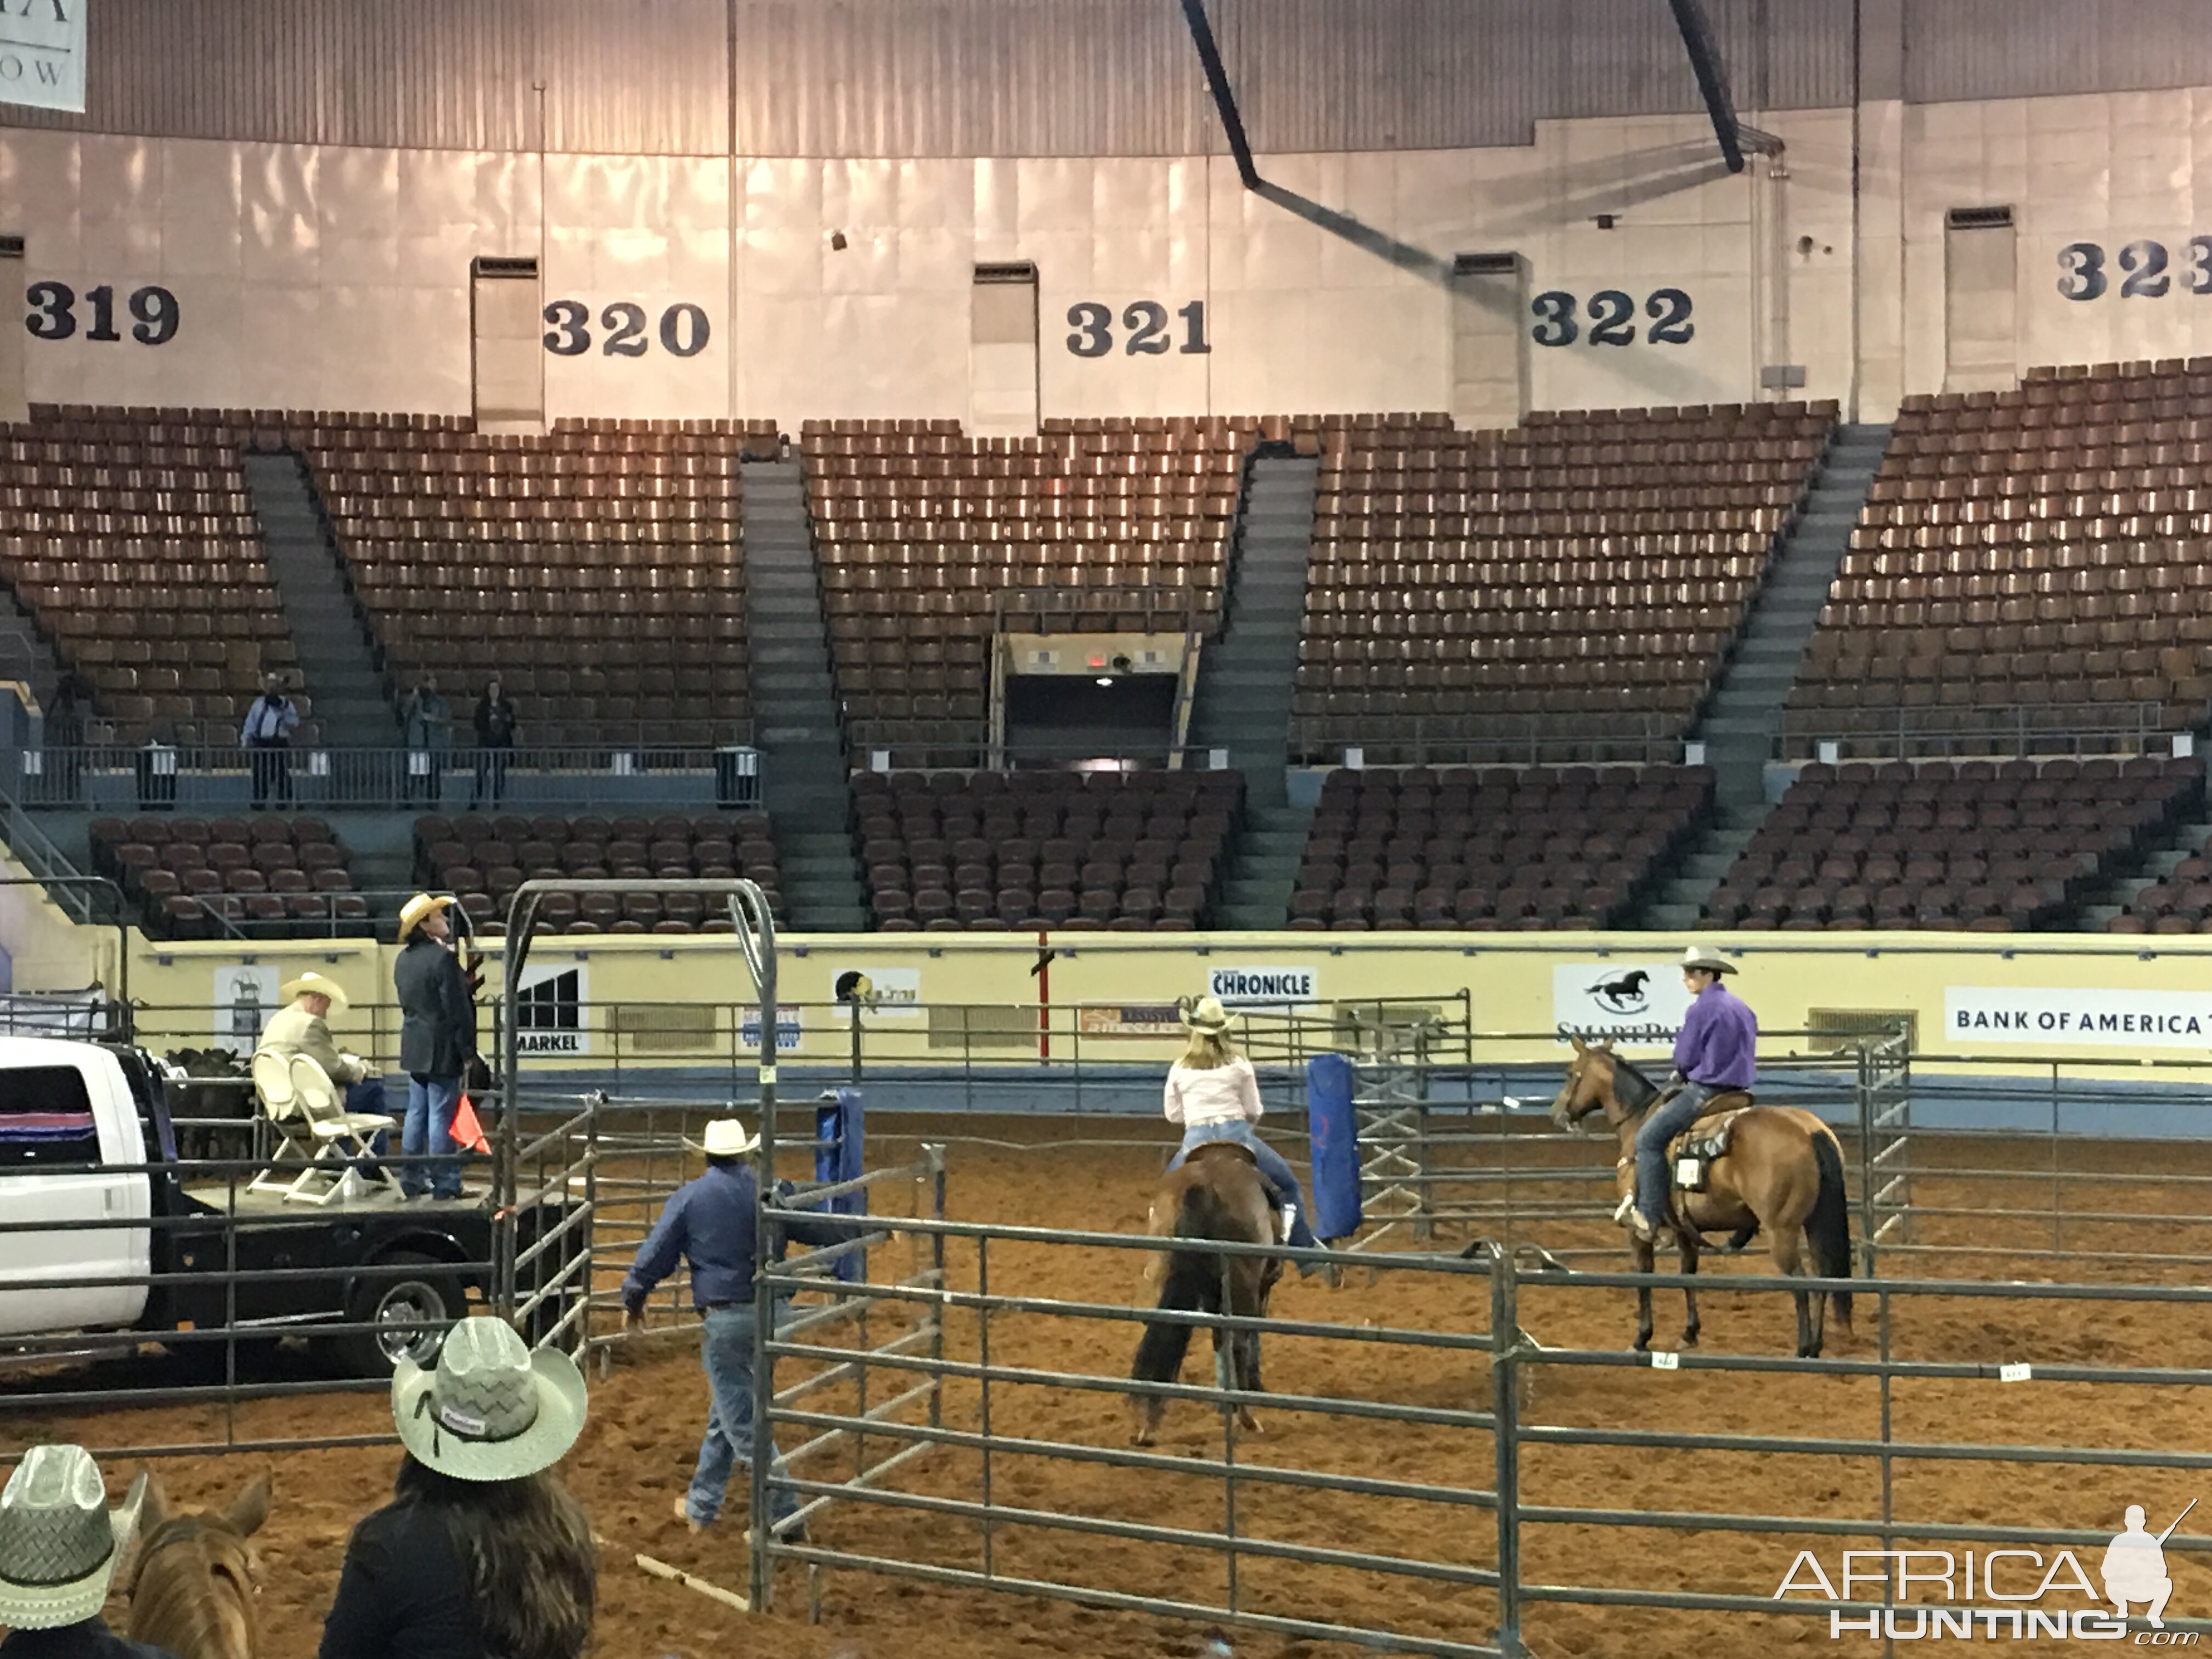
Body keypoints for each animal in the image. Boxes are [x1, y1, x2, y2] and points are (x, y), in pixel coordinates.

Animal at [1132, 1150, 1291, 1451]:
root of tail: (1203, 1186)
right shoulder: (1259, 1290)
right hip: (1243, 1282)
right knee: (1239, 1344)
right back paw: (1247, 1419)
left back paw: (1149, 1425)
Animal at [1548, 1040, 1858, 1362]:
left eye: (1570, 1073)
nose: (1556, 1113)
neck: (1637, 1123)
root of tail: (1811, 1131)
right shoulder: (1685, 1229)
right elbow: (1688, 1274)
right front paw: (1689, 1333)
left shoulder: (1637, 1233)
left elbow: (1645, 1277)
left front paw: (1642, 1338)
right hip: (1814, 1222)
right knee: (1823, 1278)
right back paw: (1816, 1347)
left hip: (1781, 1231)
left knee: (1801, 1284)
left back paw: (1803, 1348)